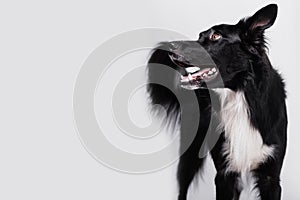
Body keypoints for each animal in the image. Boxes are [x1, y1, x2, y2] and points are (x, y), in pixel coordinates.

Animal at [146, 3, 288, 200]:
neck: (241, 97)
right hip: (190, 152)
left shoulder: (270, 176)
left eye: (216, 36)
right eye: (200, 36)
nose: (171, 48)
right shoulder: (225, 174)